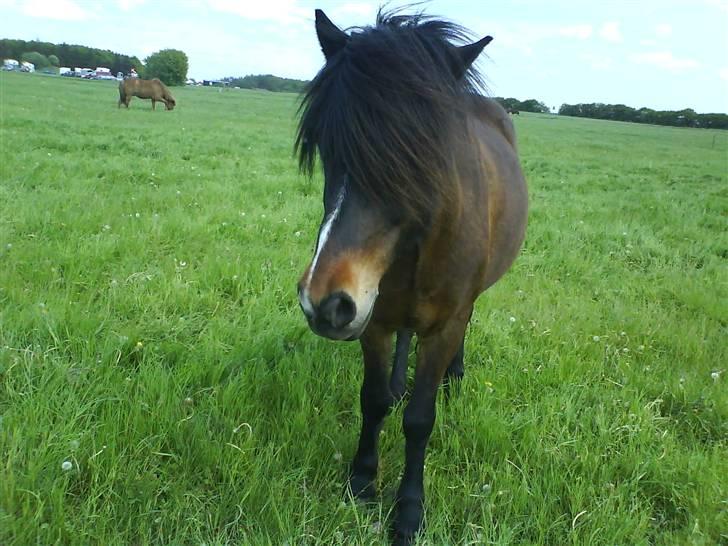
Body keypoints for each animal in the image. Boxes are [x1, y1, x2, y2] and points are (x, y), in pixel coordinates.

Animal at [292, 8, 528, 544]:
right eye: (327, 147)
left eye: (423, 154)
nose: (325, 302)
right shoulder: (373, 320)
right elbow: (374, 400)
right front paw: (362, 482)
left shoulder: (443, 324)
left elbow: (420, 419)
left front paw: (408, 512)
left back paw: (455, 376)